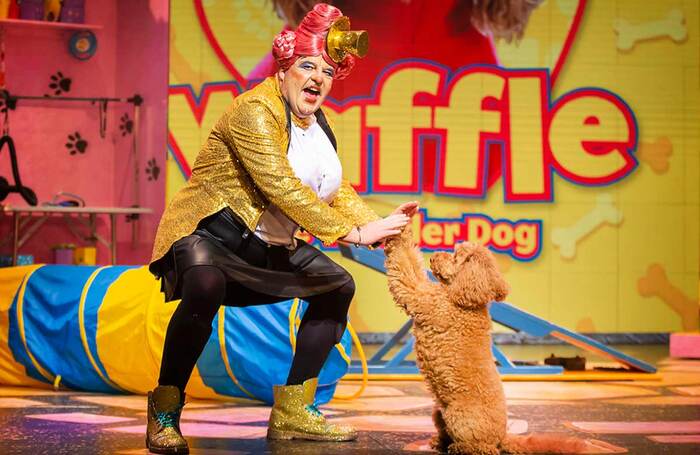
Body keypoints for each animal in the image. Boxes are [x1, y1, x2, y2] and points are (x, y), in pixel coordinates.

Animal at [382, 226, 628, 454]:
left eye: (456, 256)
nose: (434, 256)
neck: (463, 299)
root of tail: (502, 437)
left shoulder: (421, 297)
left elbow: (406, 266)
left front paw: (400, 231)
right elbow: (410, 260)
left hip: (460, 417)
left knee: (482, 448)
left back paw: (459, 447)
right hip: (439, 411)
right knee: (448, 434)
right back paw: (439, 442)